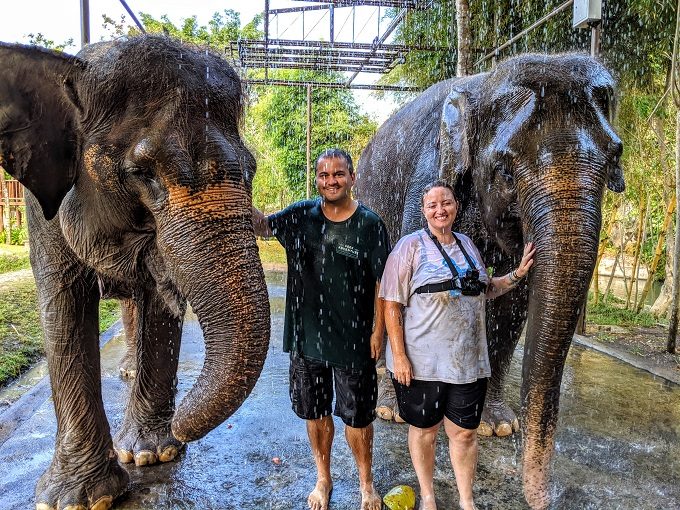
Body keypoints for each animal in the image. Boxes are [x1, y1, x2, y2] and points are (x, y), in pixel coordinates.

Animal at [0, 36, 270, 510]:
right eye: (142, 173)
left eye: (252, 169)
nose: (182, 420)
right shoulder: (40, 209)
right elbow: (63, 305)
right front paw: (75, 499)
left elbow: (158, 307)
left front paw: (151, 454)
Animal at [356, 53, 628, 508]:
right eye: (504, 170)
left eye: (613, 158)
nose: (546, 497)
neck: (483, 84)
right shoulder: (427, 176)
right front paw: (405, 408)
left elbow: (512, 305)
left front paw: (497, 425)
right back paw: (387, 400)